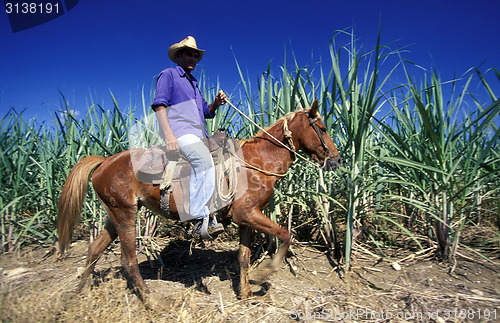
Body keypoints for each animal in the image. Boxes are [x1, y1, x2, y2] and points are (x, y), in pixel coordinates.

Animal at [57, 100, 340, 302]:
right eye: (323, 129)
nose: (336, 160)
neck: (257, 161)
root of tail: (105, 161)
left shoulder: (247, 218)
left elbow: (244, 256)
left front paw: (245, 292)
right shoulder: (247, 214)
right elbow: (284, 234)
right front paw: (264, 273)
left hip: (116, 214)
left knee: (95, 249)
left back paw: (80, 292)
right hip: (125, 214)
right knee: (128, 260)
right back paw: (151, 301)